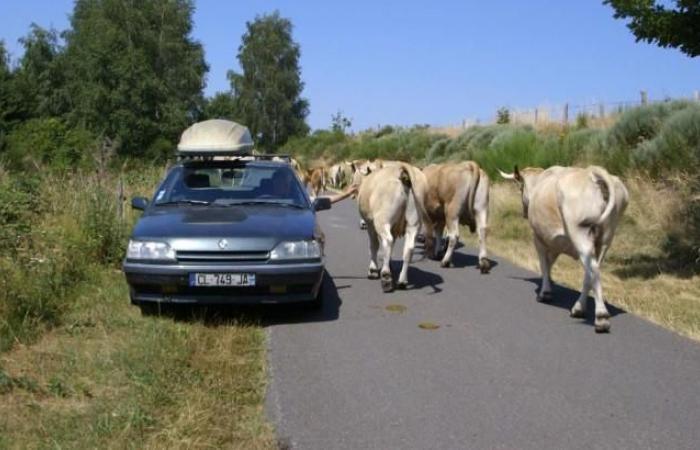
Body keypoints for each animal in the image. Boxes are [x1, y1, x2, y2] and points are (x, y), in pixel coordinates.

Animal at [358, 162, 430, 292]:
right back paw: (402, 281)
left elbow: (374, 245)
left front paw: (373, 270)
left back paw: (386, 277)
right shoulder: (394, 229)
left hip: (382, 220)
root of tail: (402, 171)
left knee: (388, 241)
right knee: (409, 248)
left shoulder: (370, 224)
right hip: (414, 223)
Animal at [498, 163, 628, 332]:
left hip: (580, 233)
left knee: (592, 269)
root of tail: (593, 172)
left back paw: (601, 317)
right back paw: (579, 308)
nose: (524, 213)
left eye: (520, 189)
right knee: (591, 272)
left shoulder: (538, 238)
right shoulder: (556, 243)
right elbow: (550, 263)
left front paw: (545, 292)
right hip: (605, 239)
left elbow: (544, 264)